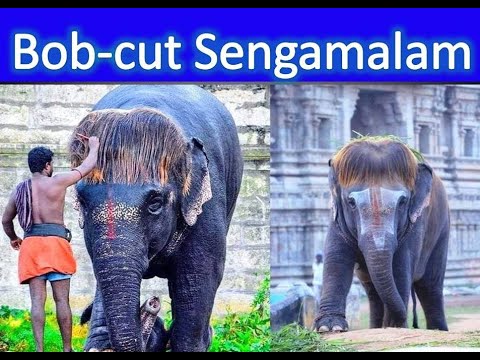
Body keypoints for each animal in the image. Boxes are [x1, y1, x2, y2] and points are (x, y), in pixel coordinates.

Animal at [316, 137, 450, 332]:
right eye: (351, 202)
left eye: (402, 202)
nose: (405, 322)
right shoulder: (336, 218)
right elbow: (336, 258)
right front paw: (330, 328)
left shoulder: (416, 222)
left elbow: (400, 265)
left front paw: (395, 326)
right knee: (372, 291)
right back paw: (376, 327)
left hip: (442, 230)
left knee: (430, 286)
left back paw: (437, 330)